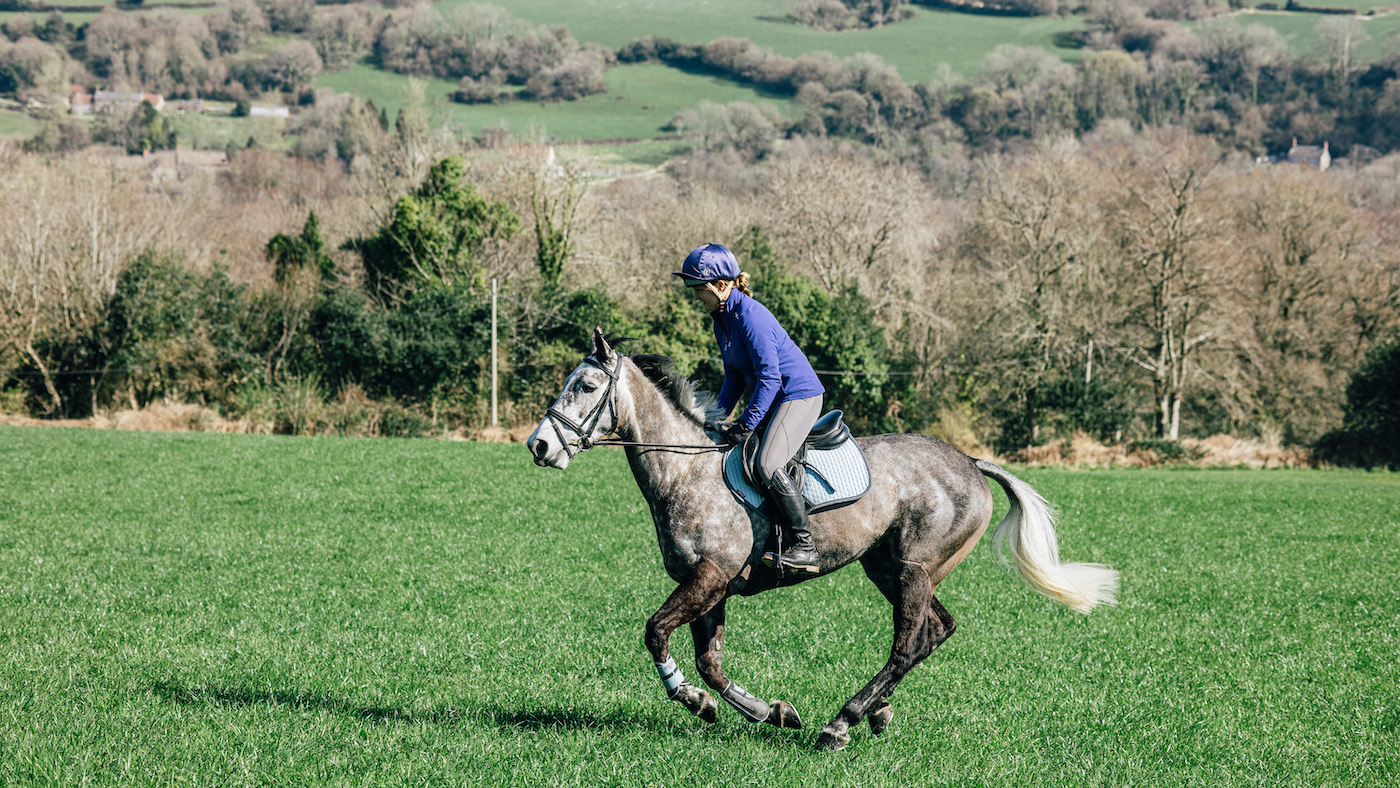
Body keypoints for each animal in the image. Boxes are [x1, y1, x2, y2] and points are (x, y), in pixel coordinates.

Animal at [526, 328, 1118, 750]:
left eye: (585, 387)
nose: (538, 446)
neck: (685, 471)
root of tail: (971, 462)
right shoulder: (710, 586)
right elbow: (711, 663)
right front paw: (764, 711)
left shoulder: (709, 577)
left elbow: (656, 634)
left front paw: (694, 701)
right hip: (889, 567)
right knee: (936, 630)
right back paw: (877, 711)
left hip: (913, 569)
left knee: (908, 643)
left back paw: (843, 722)